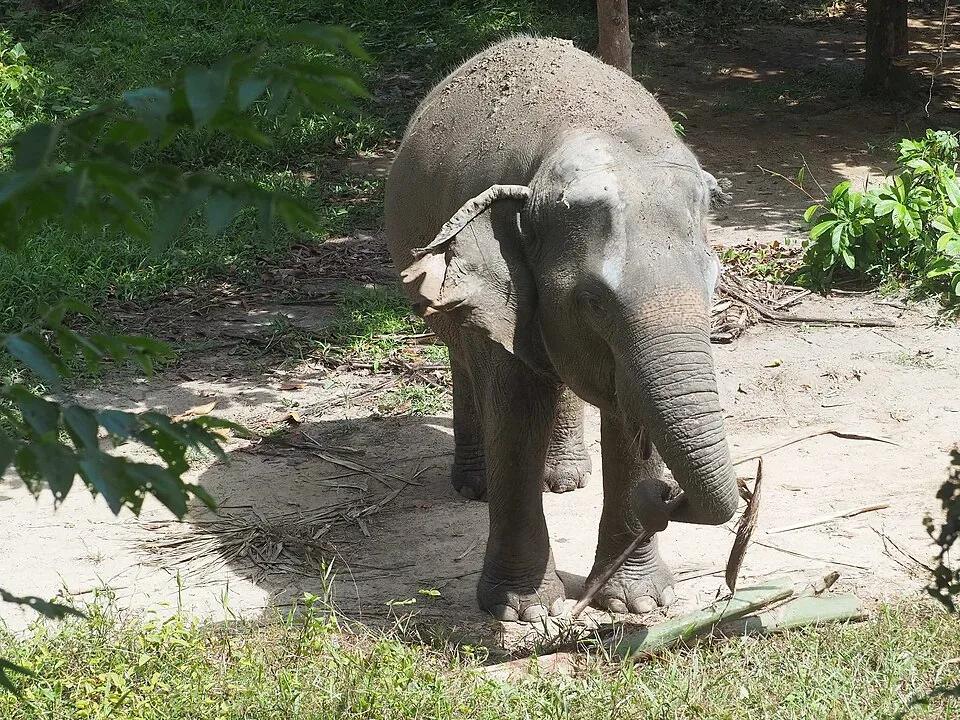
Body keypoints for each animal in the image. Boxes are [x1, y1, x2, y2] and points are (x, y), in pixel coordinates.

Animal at [385, 36, 738, 621]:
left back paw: (567, 478)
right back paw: (475, 484)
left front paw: (639, 604)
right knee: (463, 358)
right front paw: (523, 611)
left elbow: (625, 412)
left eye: (713, 284)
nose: (666, 498)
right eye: (592, 301)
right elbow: (514, 409)